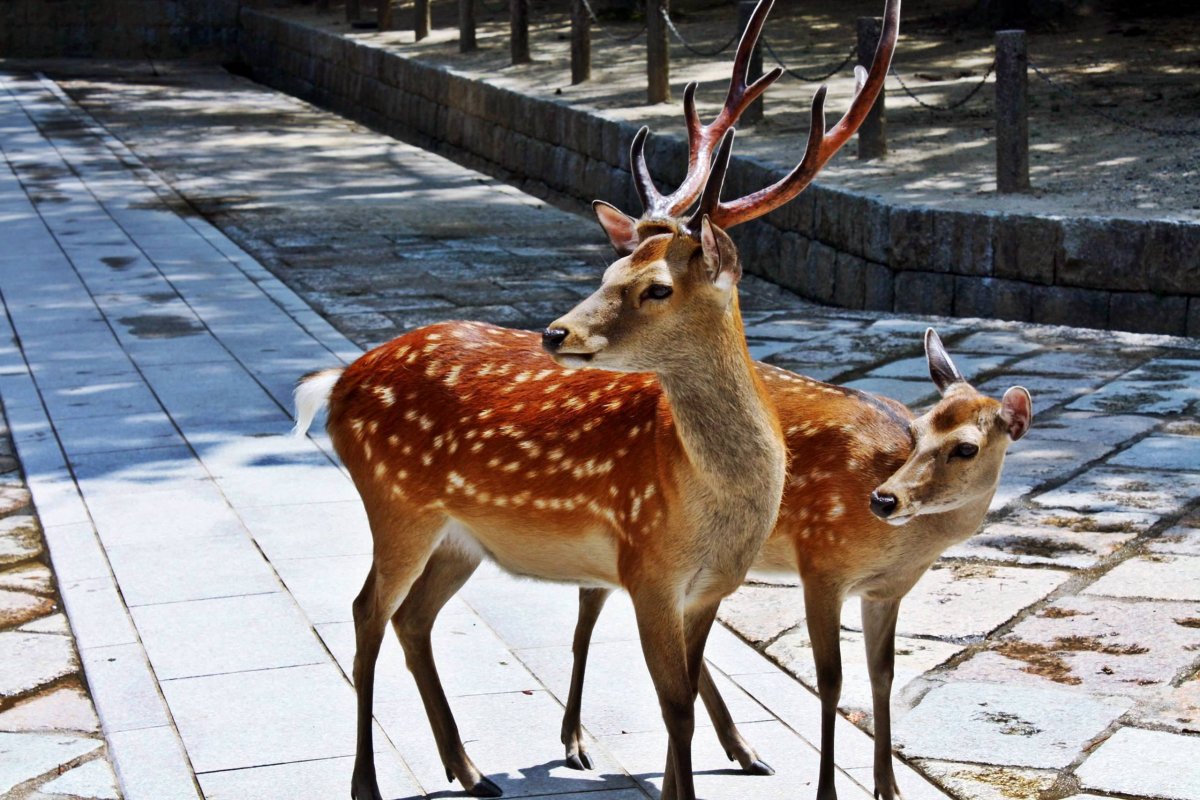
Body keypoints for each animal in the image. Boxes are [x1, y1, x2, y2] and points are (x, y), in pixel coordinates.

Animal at [561, 328, 1032, 796]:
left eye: (966, 448)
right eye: (915, 432)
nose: (884, 498)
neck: (903, 550)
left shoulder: (885, 592)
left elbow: (882, 676)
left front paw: (890, 788)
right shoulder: (822, 564)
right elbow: (831, 682)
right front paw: (828, 791)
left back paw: (743, 751)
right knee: (587, 613)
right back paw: (575, 743)